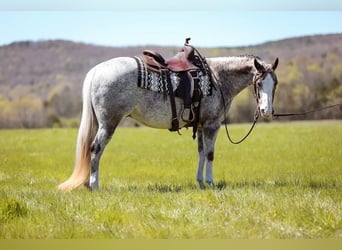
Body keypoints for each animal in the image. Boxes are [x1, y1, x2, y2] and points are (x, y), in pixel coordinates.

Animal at [58, 54, 278, 191]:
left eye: (275, 83)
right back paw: (94, 185)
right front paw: (211, 183)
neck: (217, 78)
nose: (266, 111)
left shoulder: (200, 126)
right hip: (108, 124)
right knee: (95, 149)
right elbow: (210, 154)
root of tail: (97, 71)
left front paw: (200, 183)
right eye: (259, 82)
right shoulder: (211, 125)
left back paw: (88, 184)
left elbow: (200, 154)